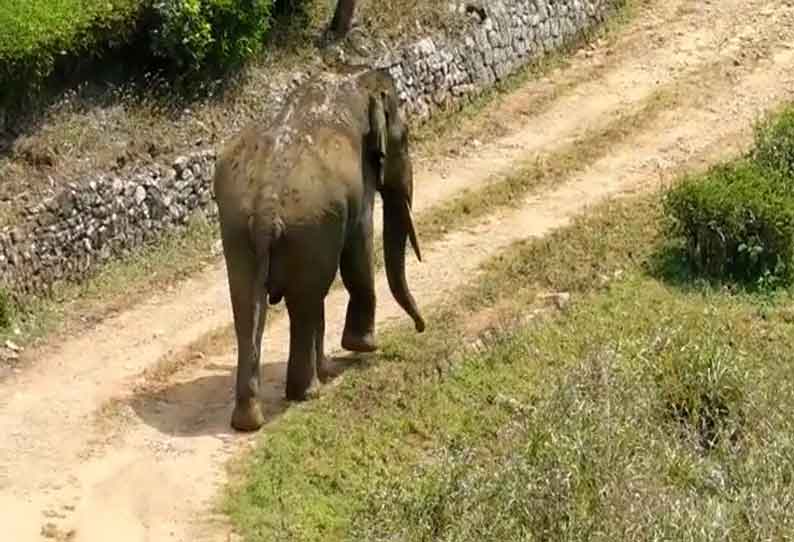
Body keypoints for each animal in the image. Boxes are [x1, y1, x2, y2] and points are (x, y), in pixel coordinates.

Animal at [209, 66, 420, 432]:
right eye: (404, 138)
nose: (421, 328)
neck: (352, 80)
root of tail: (265, 205)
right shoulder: (358, 186)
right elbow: (359, 248)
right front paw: (363, 346)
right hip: (308, 225)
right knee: (304, 302)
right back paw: (308, 392)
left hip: (237, 229)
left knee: (247, 307)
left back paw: (249, 420)